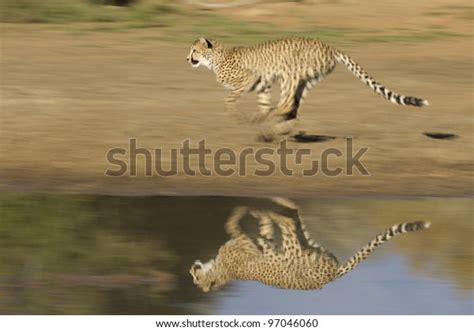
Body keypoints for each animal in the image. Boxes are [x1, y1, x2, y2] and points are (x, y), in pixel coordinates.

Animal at [186, 37, 430, 142]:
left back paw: (268, 123)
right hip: (304, 81)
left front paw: (238, 115)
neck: (215, 57)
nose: (187, 58)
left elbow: (229, 99)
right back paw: (274, 129)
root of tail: (329, 46)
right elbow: (261, 102)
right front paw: (258, 116)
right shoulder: (262, 83)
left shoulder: (250, 78)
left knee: (286, 105)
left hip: (290, 73)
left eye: (194, 50)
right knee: (292, 110)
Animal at [189, 198, 430, 292]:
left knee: (290, 218)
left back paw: (273, 207)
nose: (191, 270)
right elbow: (261, 232)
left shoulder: (248, 244)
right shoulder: (258, 243)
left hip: (294, 248)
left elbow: (231, 224)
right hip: (304, 247)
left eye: (196, 279)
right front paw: (255, 216)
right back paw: (275, 208)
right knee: (293, 219)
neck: (219, 271)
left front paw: (242, 212)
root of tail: (331, 276)